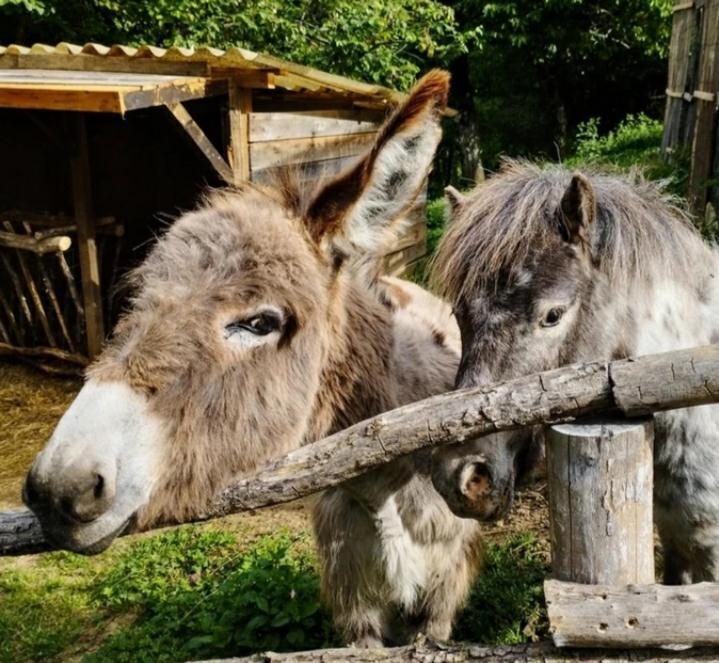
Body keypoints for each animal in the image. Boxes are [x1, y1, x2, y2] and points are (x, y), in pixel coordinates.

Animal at [21, 74, 516, 648]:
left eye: (259, 323)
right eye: (137, 300)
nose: (58, 488)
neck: (380, 484)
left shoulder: (442, 594)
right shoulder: (354, 605)